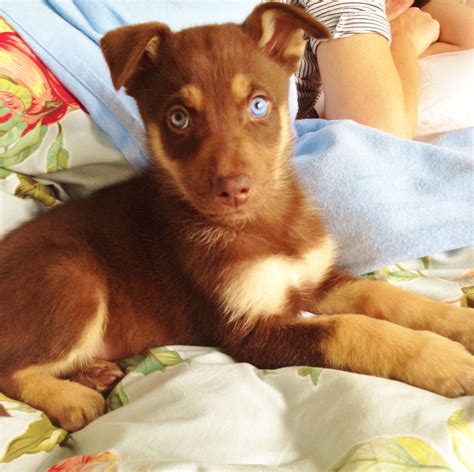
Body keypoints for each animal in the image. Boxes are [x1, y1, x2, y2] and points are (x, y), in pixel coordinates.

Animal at [0, 3, 474, 432]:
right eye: (178, 118)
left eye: (259, 105)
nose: (233, 190)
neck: (266, 224)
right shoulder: (249, 331)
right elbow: (353, 330)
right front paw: (441, 359)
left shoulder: (318, 279)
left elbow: (391, 299)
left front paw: (461, 325)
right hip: (72, 282)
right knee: (12, 366)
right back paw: (70, 398)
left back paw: (92, 371)